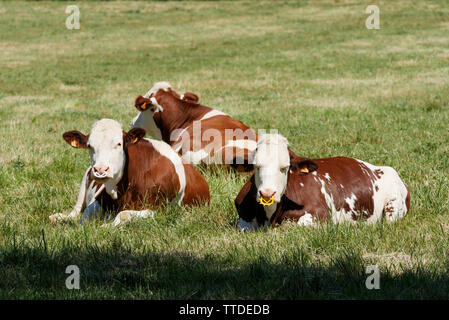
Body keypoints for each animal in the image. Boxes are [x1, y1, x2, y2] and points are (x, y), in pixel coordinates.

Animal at [49, 119, 210, 226]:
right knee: (75, 212)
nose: (100, 170)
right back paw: (58, 217)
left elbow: (123, 215)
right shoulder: (99, 200)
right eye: (89, 145)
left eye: (119, 144)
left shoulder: (157, 208)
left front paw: (107, 226)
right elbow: (84, 218)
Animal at [234, 133, 410, 230]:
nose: (267, 194)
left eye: (285, 167)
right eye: (256, 166)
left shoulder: (321, 215)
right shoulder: (243, 218)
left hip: (394, 207)